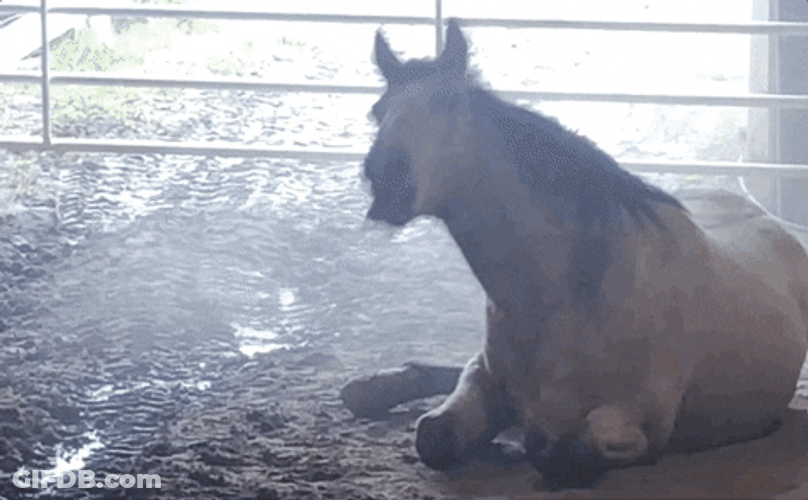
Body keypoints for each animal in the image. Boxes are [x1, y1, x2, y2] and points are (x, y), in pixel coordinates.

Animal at [361, 19, 808, 489]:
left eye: (448, 103)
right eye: (378, 110)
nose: (385, 176)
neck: (566, 295)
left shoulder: (638, 425)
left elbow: (560, 452)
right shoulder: (482, 377)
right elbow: (434, 435)